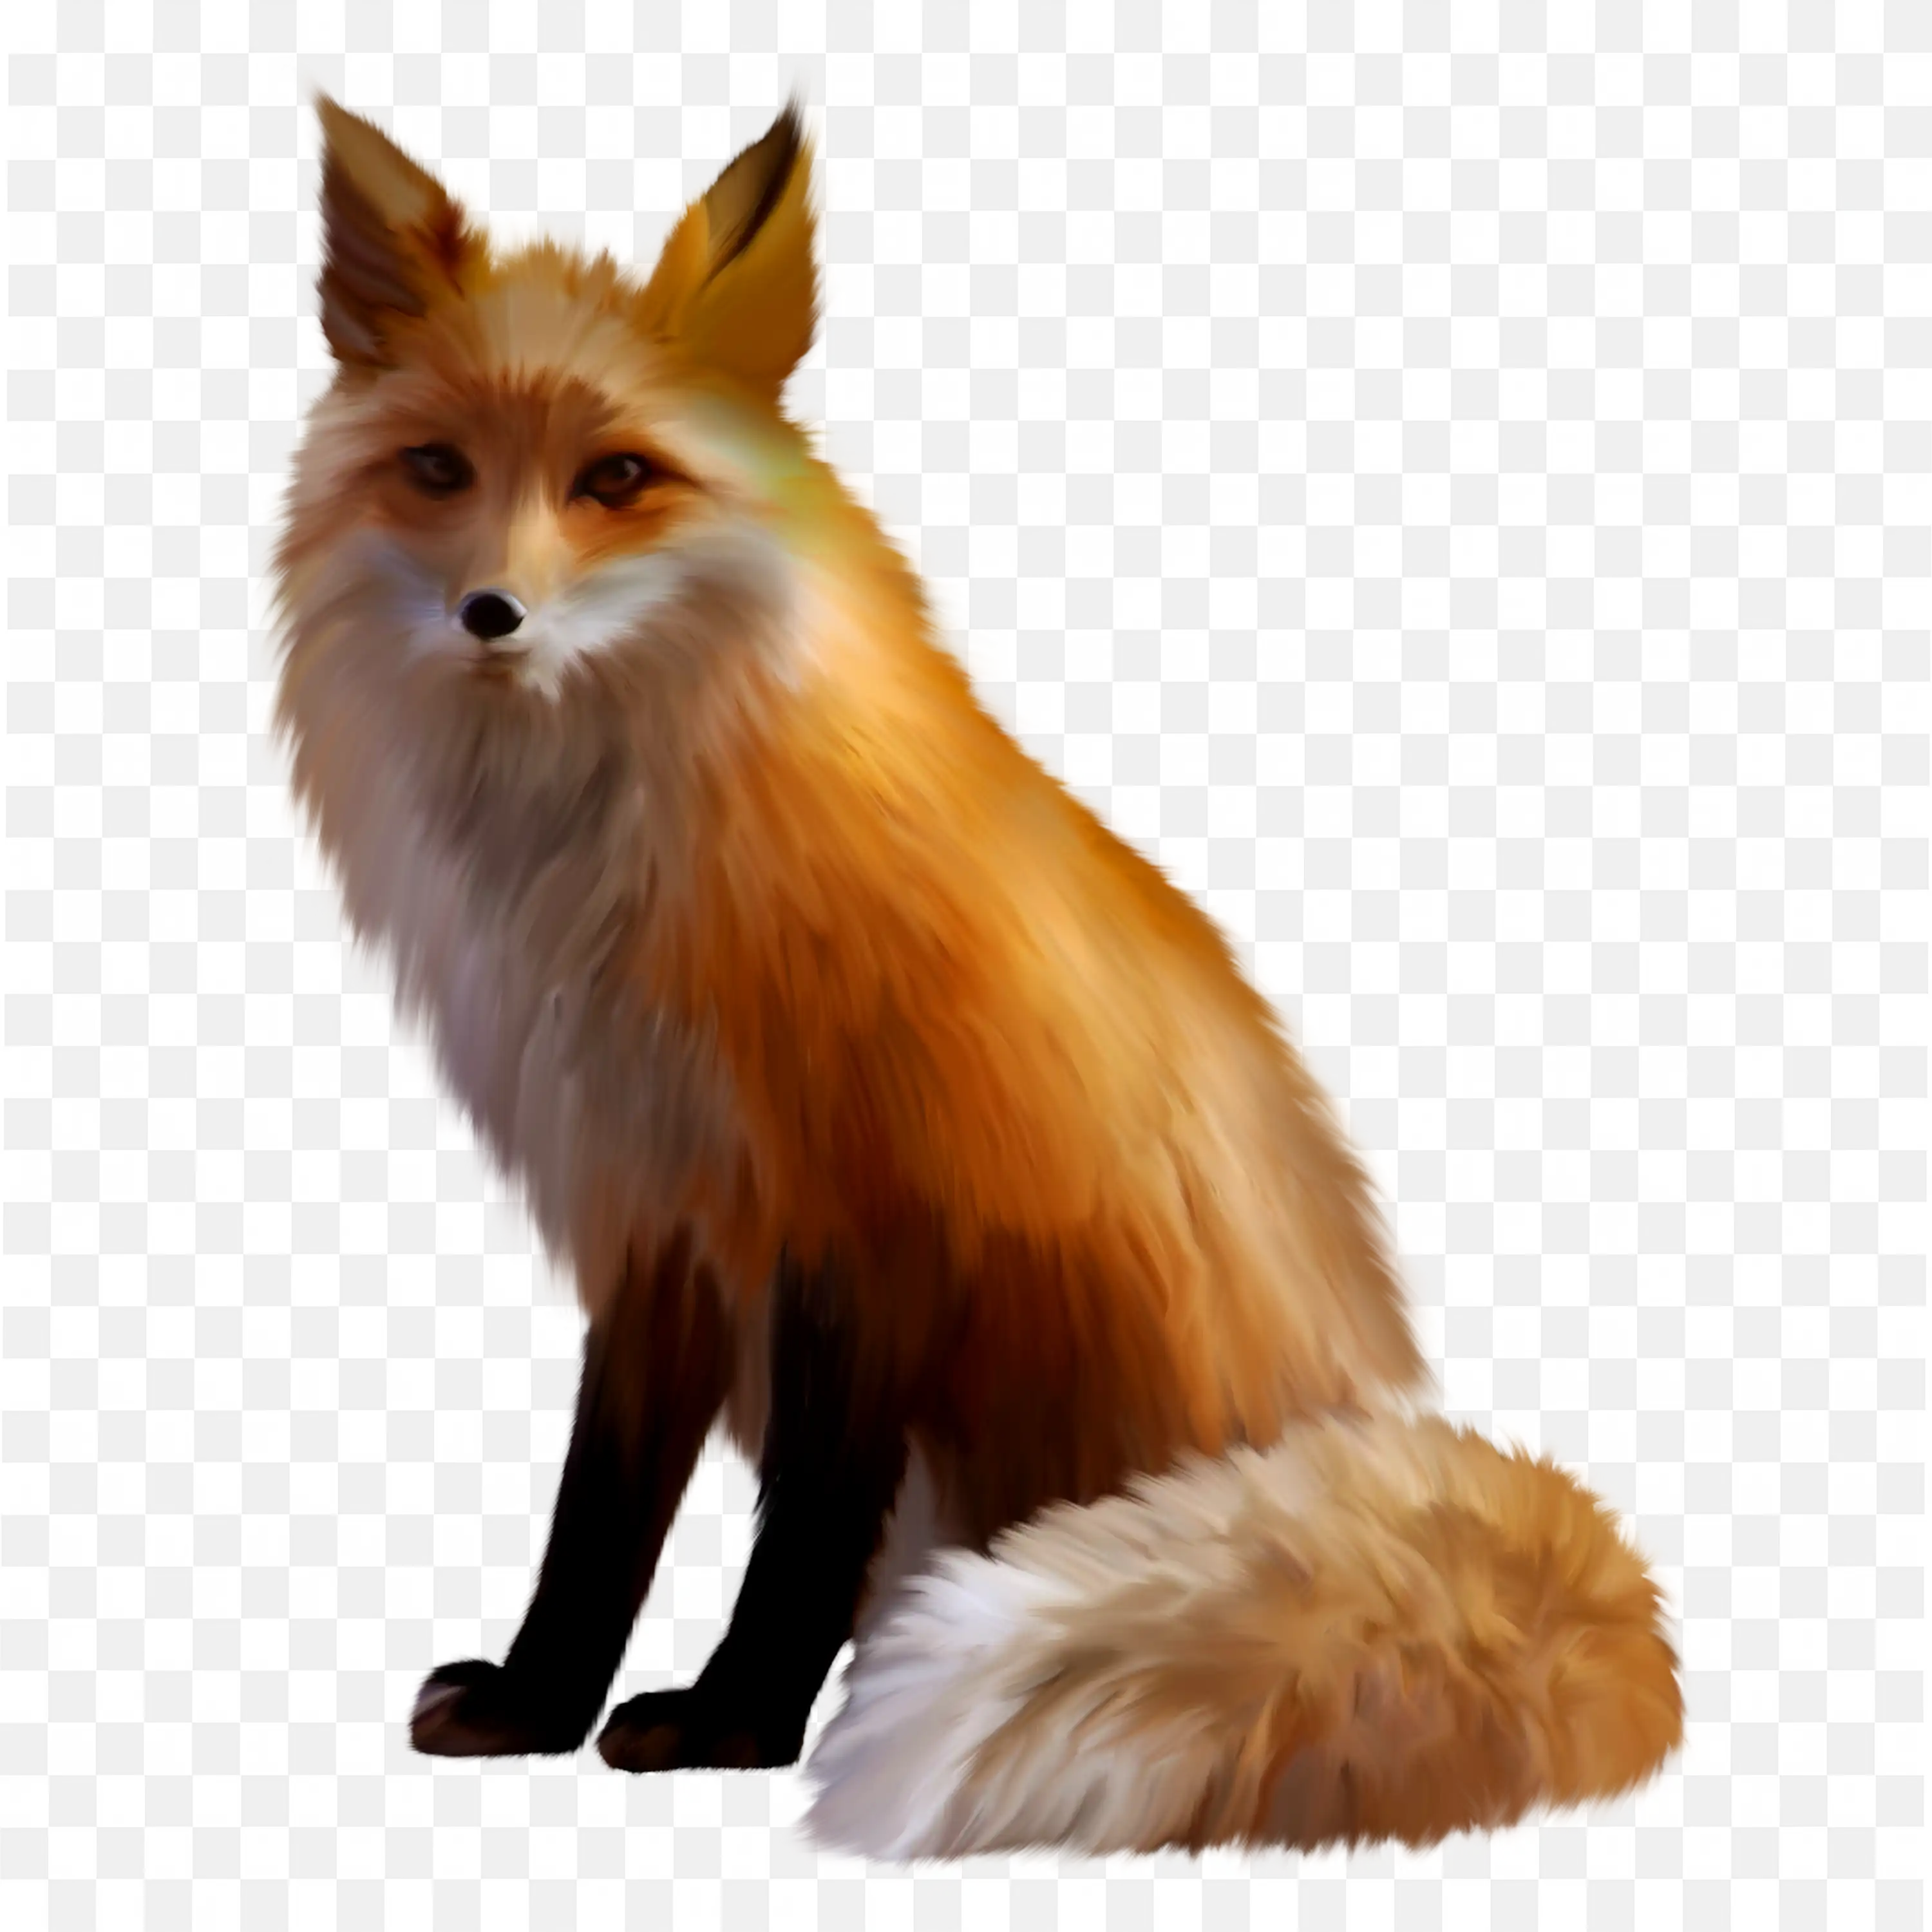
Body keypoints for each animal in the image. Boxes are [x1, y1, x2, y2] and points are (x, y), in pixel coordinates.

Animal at [265, 84, 1687, 1865]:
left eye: (617, 478)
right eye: (438, 470)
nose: (490, 613)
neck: (615, 892)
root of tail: (1395, 1427)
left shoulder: (875, 1221)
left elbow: (803, 1526)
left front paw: (734, 1725)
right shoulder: (652, 1215)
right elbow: (600, 1508)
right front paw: (540, 1702)